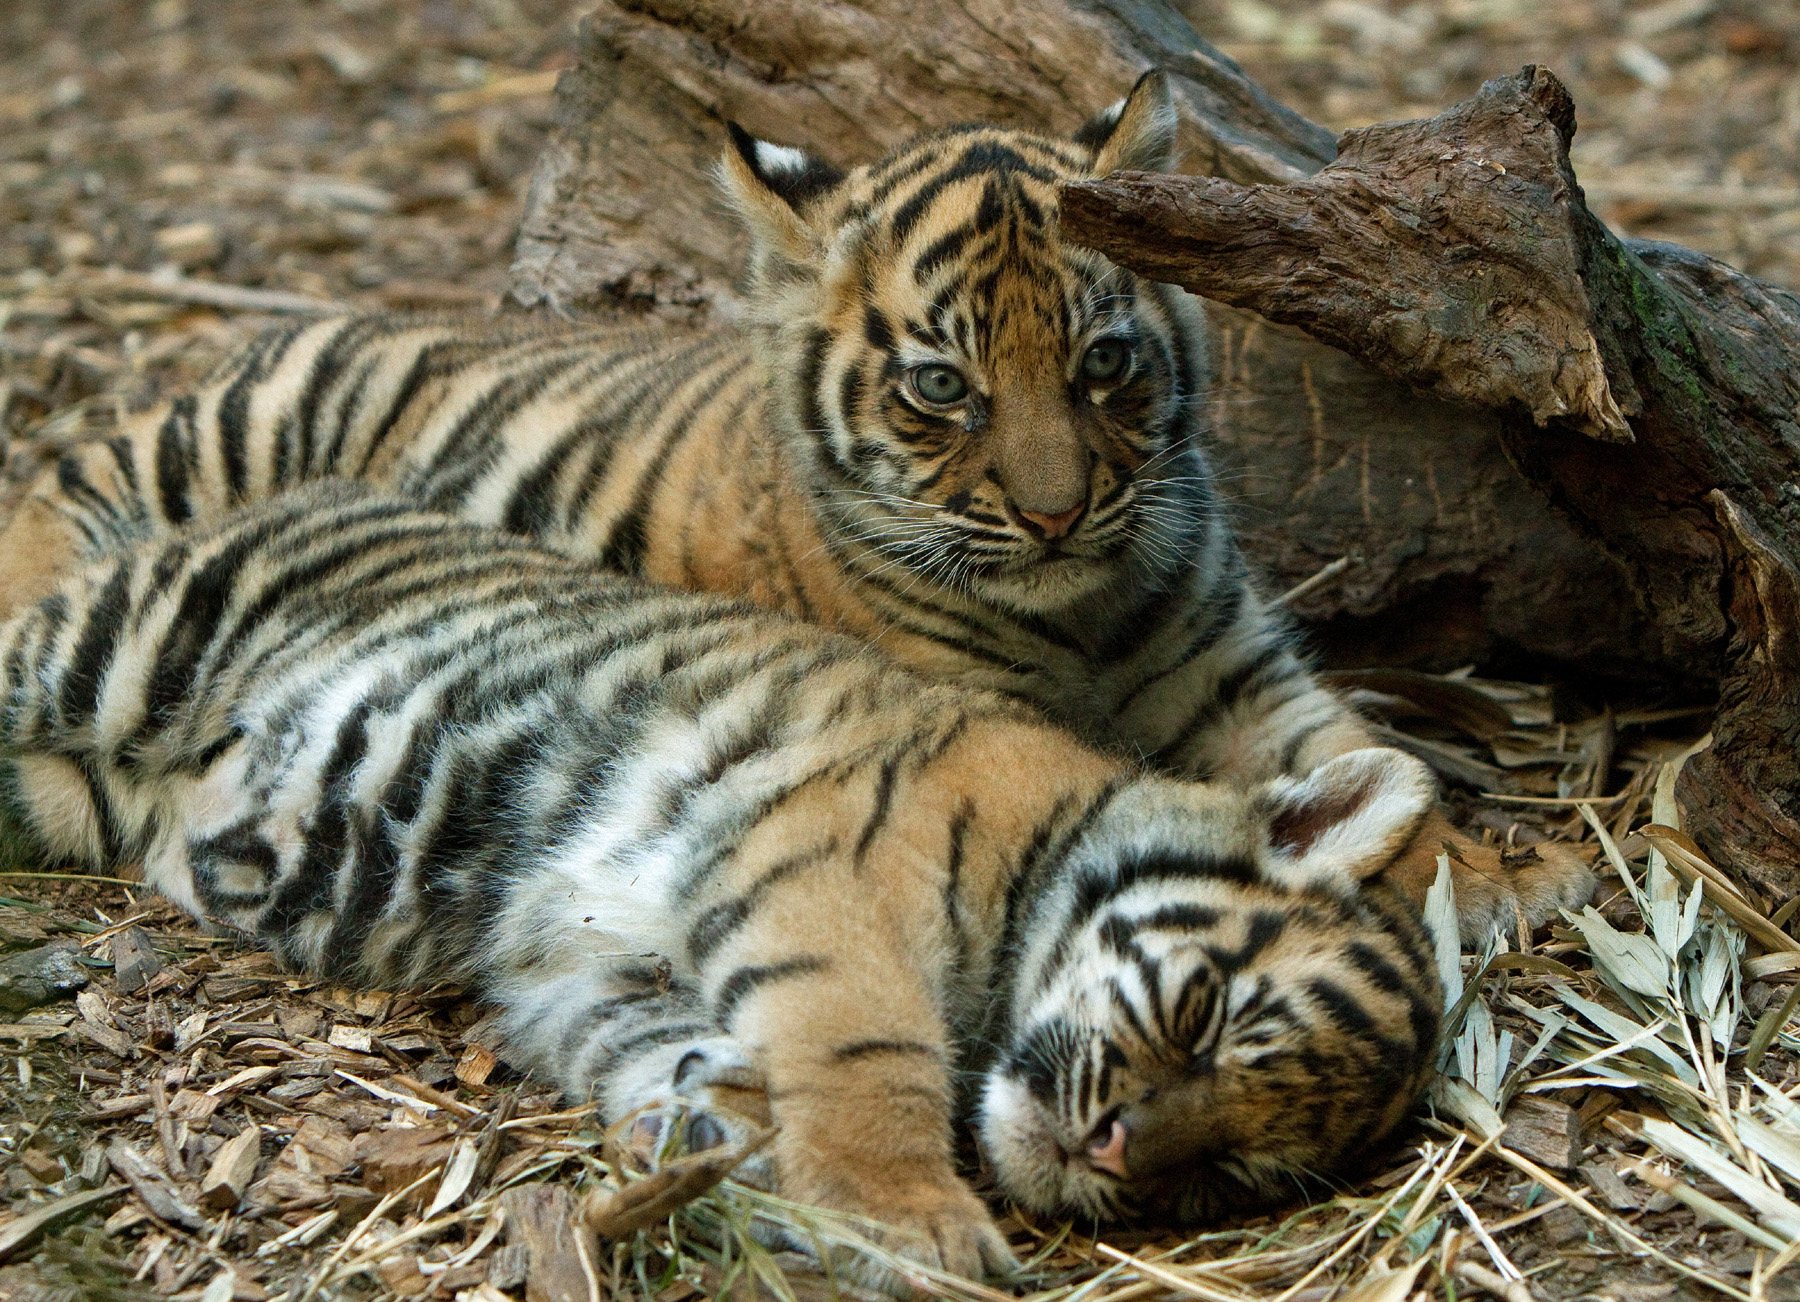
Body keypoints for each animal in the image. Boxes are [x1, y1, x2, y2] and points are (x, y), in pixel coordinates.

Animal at [0, 72, 1592, 943]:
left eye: (1103, 362)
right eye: (943, 387)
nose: (1057, 514)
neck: (1089, 608)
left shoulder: (1234, 667)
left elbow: (1376, 760)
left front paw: (1505, 871)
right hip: (230, 431)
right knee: (62, 484)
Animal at [0, 482, 1444, 1288]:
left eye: (1228, 1176)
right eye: (1201, 1015)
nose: (1117, 1150)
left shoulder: (584, 966)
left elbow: (683, 1063)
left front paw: (716, 1168)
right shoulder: (832, 878)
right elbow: (872, 1054)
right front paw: (918, 1224)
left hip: (77, 793)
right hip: (117, 650)